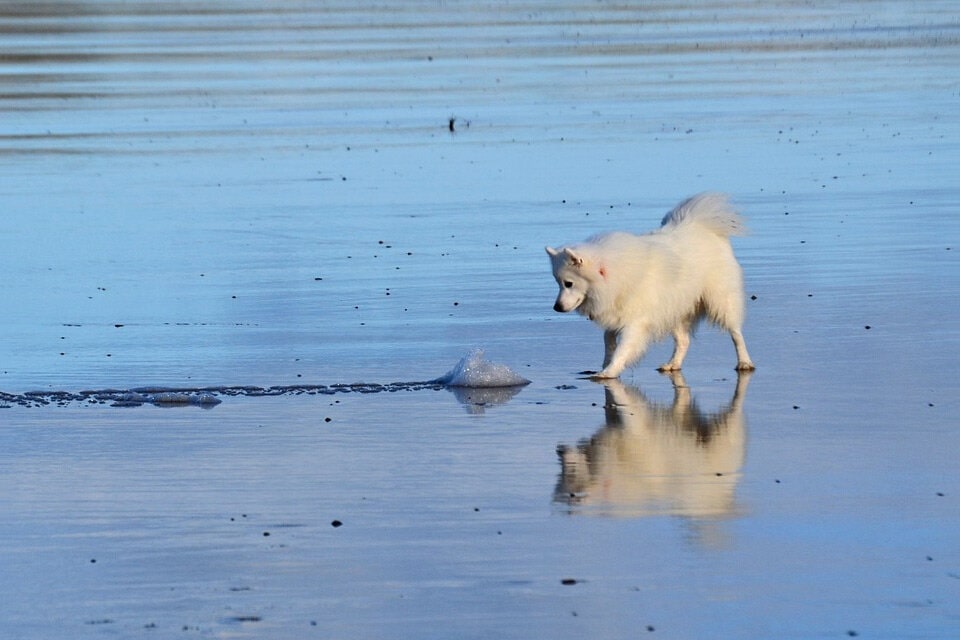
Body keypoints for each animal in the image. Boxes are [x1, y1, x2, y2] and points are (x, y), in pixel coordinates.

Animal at [544, 192, 752, 378]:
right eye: (558, 283)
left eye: (568, 283)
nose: (556, 307)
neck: (615, 277)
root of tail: (700, 225)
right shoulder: (615, 316)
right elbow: (609, 342)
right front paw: (605, 364)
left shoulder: (635, 322)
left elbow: (623, 348)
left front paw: (609, 372)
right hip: (674, 309)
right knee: (684, 341)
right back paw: (673, 364)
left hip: (720, 301)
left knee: (736, 333)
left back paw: (744, 362)